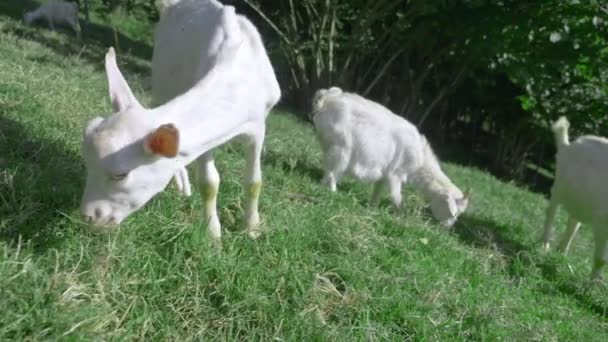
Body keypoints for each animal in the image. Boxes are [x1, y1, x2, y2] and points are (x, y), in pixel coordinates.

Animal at [79, 0, 282, 239]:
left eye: (120, 175)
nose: (88, 216)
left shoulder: (258, 125)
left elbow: (254, 181)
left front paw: (251, 228)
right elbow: (209, 182)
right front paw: (213, 234)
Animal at [312, 87, 468, 228]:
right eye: (453, 213)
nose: (446, 229)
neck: (420, 159)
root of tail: (327, 98)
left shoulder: (384, 173)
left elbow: (377, 191)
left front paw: (372, 208)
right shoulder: (396, 174)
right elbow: (396, 197)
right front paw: (401, 217)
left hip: (333, 146)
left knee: (329, 169)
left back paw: (324, 186)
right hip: (342, 148)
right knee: (333, 170)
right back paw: (333, 191)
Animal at [540, 116, 608, 280]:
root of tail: (568, 146)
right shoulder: (602, 220)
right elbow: (601, 260)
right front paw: (592, 283)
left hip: (580, 200)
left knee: (573, 222)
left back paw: (561, 251)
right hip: (558, 186)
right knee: (551, 211)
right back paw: (545, 245)